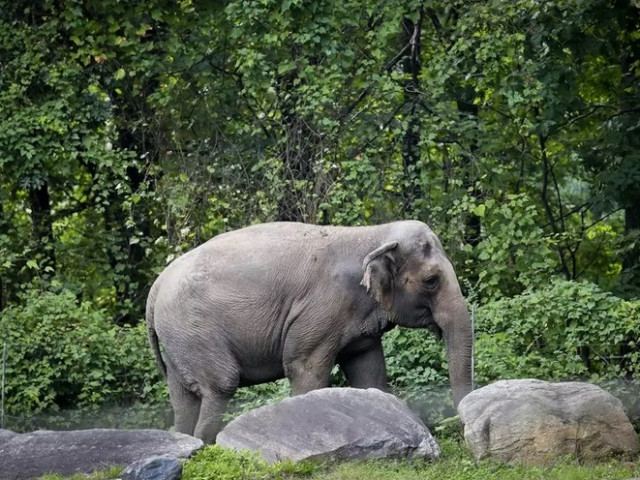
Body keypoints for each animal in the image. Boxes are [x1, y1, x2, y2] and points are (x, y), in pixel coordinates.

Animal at [146, 220, 476, 442]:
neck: (371, 233)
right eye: (431, 280)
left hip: (178, 340)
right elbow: (306, 370)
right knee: (220, 385)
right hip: (194, 330)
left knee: (183, 398)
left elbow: (368, 372)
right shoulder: (322, 309)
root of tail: (156, 287)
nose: (459, 430)